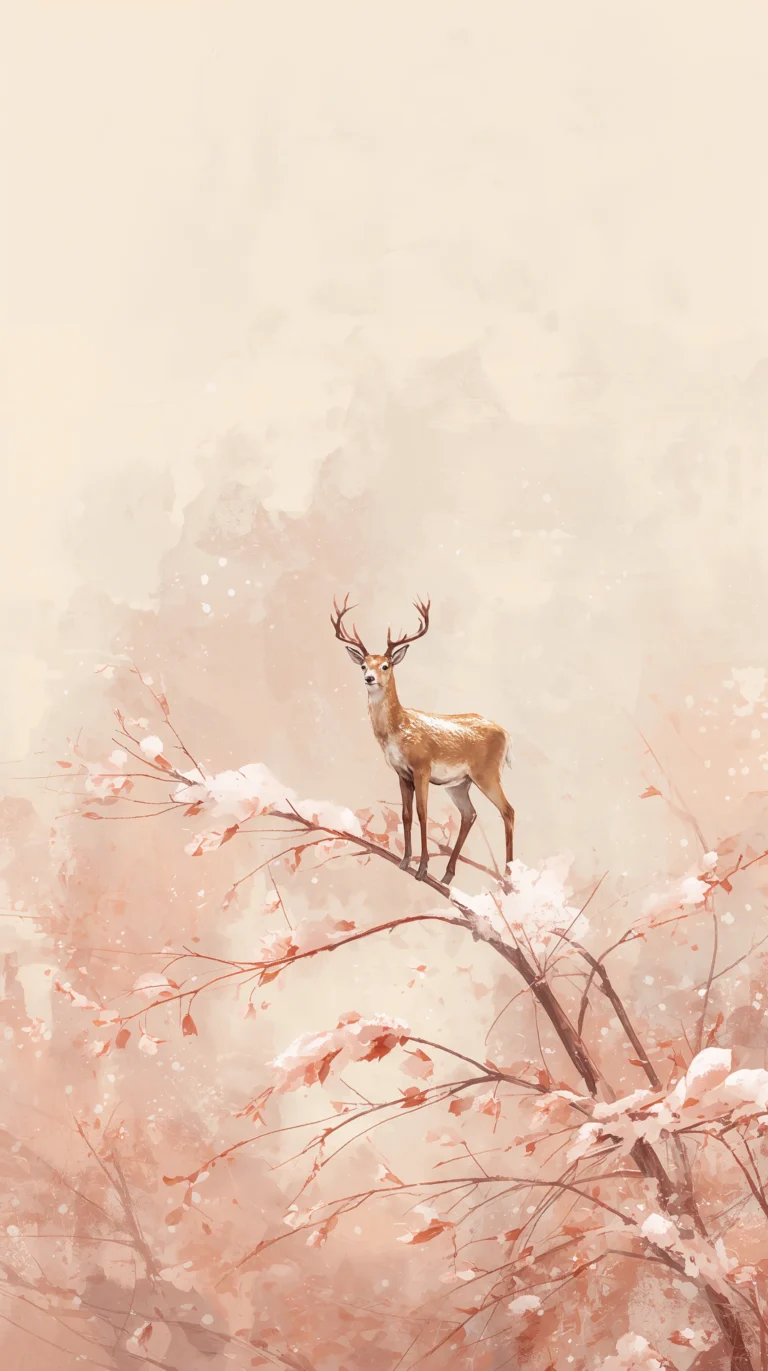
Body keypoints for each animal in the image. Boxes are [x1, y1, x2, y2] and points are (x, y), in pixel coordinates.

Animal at [331, 593, 515, 886]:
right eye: (363, 665)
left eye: (385, 665)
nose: (369, 678)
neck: (398, 730)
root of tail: (506, 734)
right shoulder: (402, 773)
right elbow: (406, 815)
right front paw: (405, 861)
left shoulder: (422, 767)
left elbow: (422, 813)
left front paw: (422, 869)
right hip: (460, 783)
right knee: (469, 814)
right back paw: (448, 875)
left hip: (486, 773)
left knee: (508, 810)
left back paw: (509, 877)